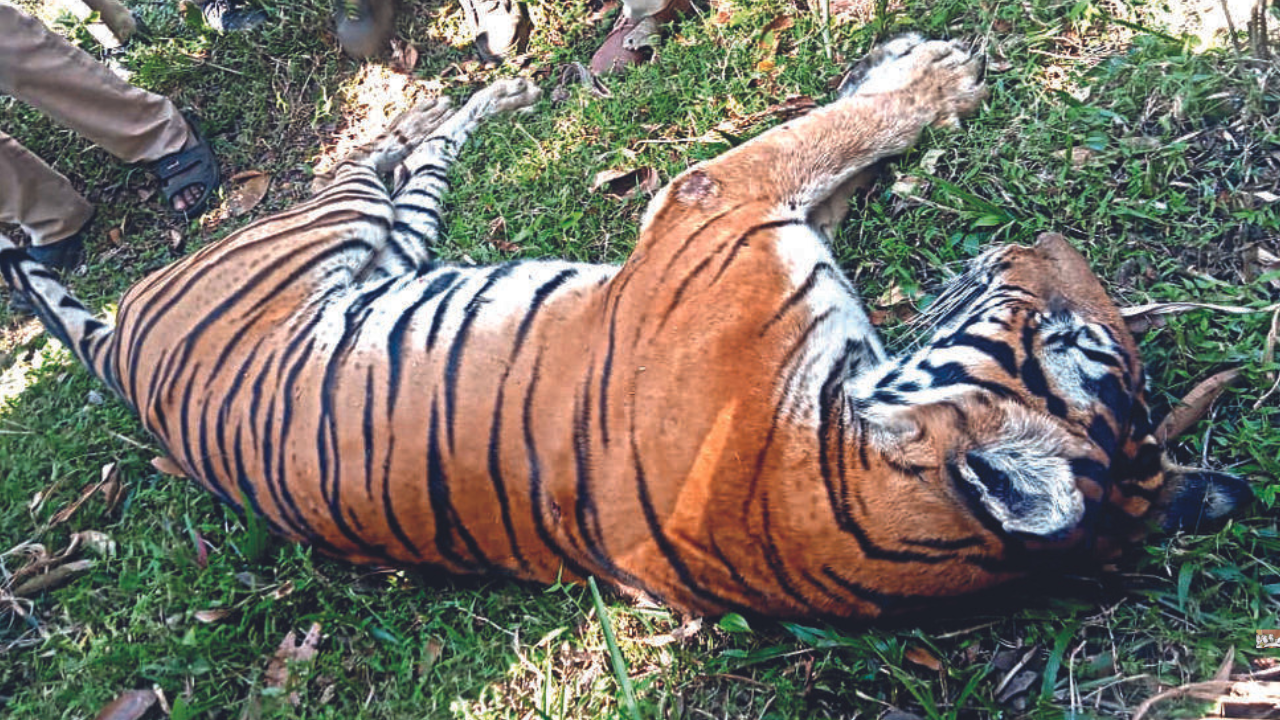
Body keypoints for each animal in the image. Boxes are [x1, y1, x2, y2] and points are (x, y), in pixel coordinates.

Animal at [0, 36, 1249, 617]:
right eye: (1072, 339)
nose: (1038, 243)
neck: (837, 478)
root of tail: (123, 357)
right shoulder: (720, 199)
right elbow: (823, 139)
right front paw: (926, 73)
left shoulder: (736, 216)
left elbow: (825, 151)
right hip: (325, 226)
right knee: (374, 154)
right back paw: (447, 97)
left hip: (378, 240)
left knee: (411, 162)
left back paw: (473, 98)